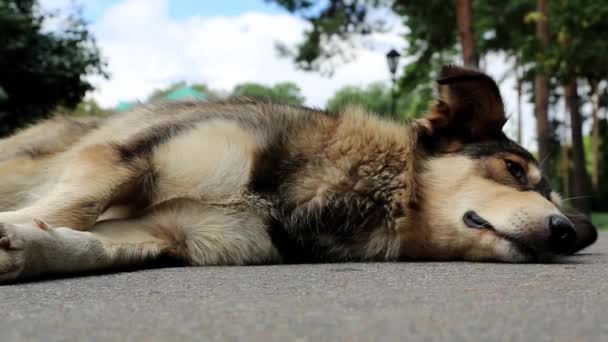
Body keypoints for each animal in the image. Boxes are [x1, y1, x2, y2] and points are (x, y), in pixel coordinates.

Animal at [0, 65, 600, 282]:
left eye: (555, 201)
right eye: (513, 169)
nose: (567, 233)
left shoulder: (171, 233)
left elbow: (86, 242)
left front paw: (26, 247)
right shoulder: (124, 159)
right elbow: (74, 206)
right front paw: (14, 231)